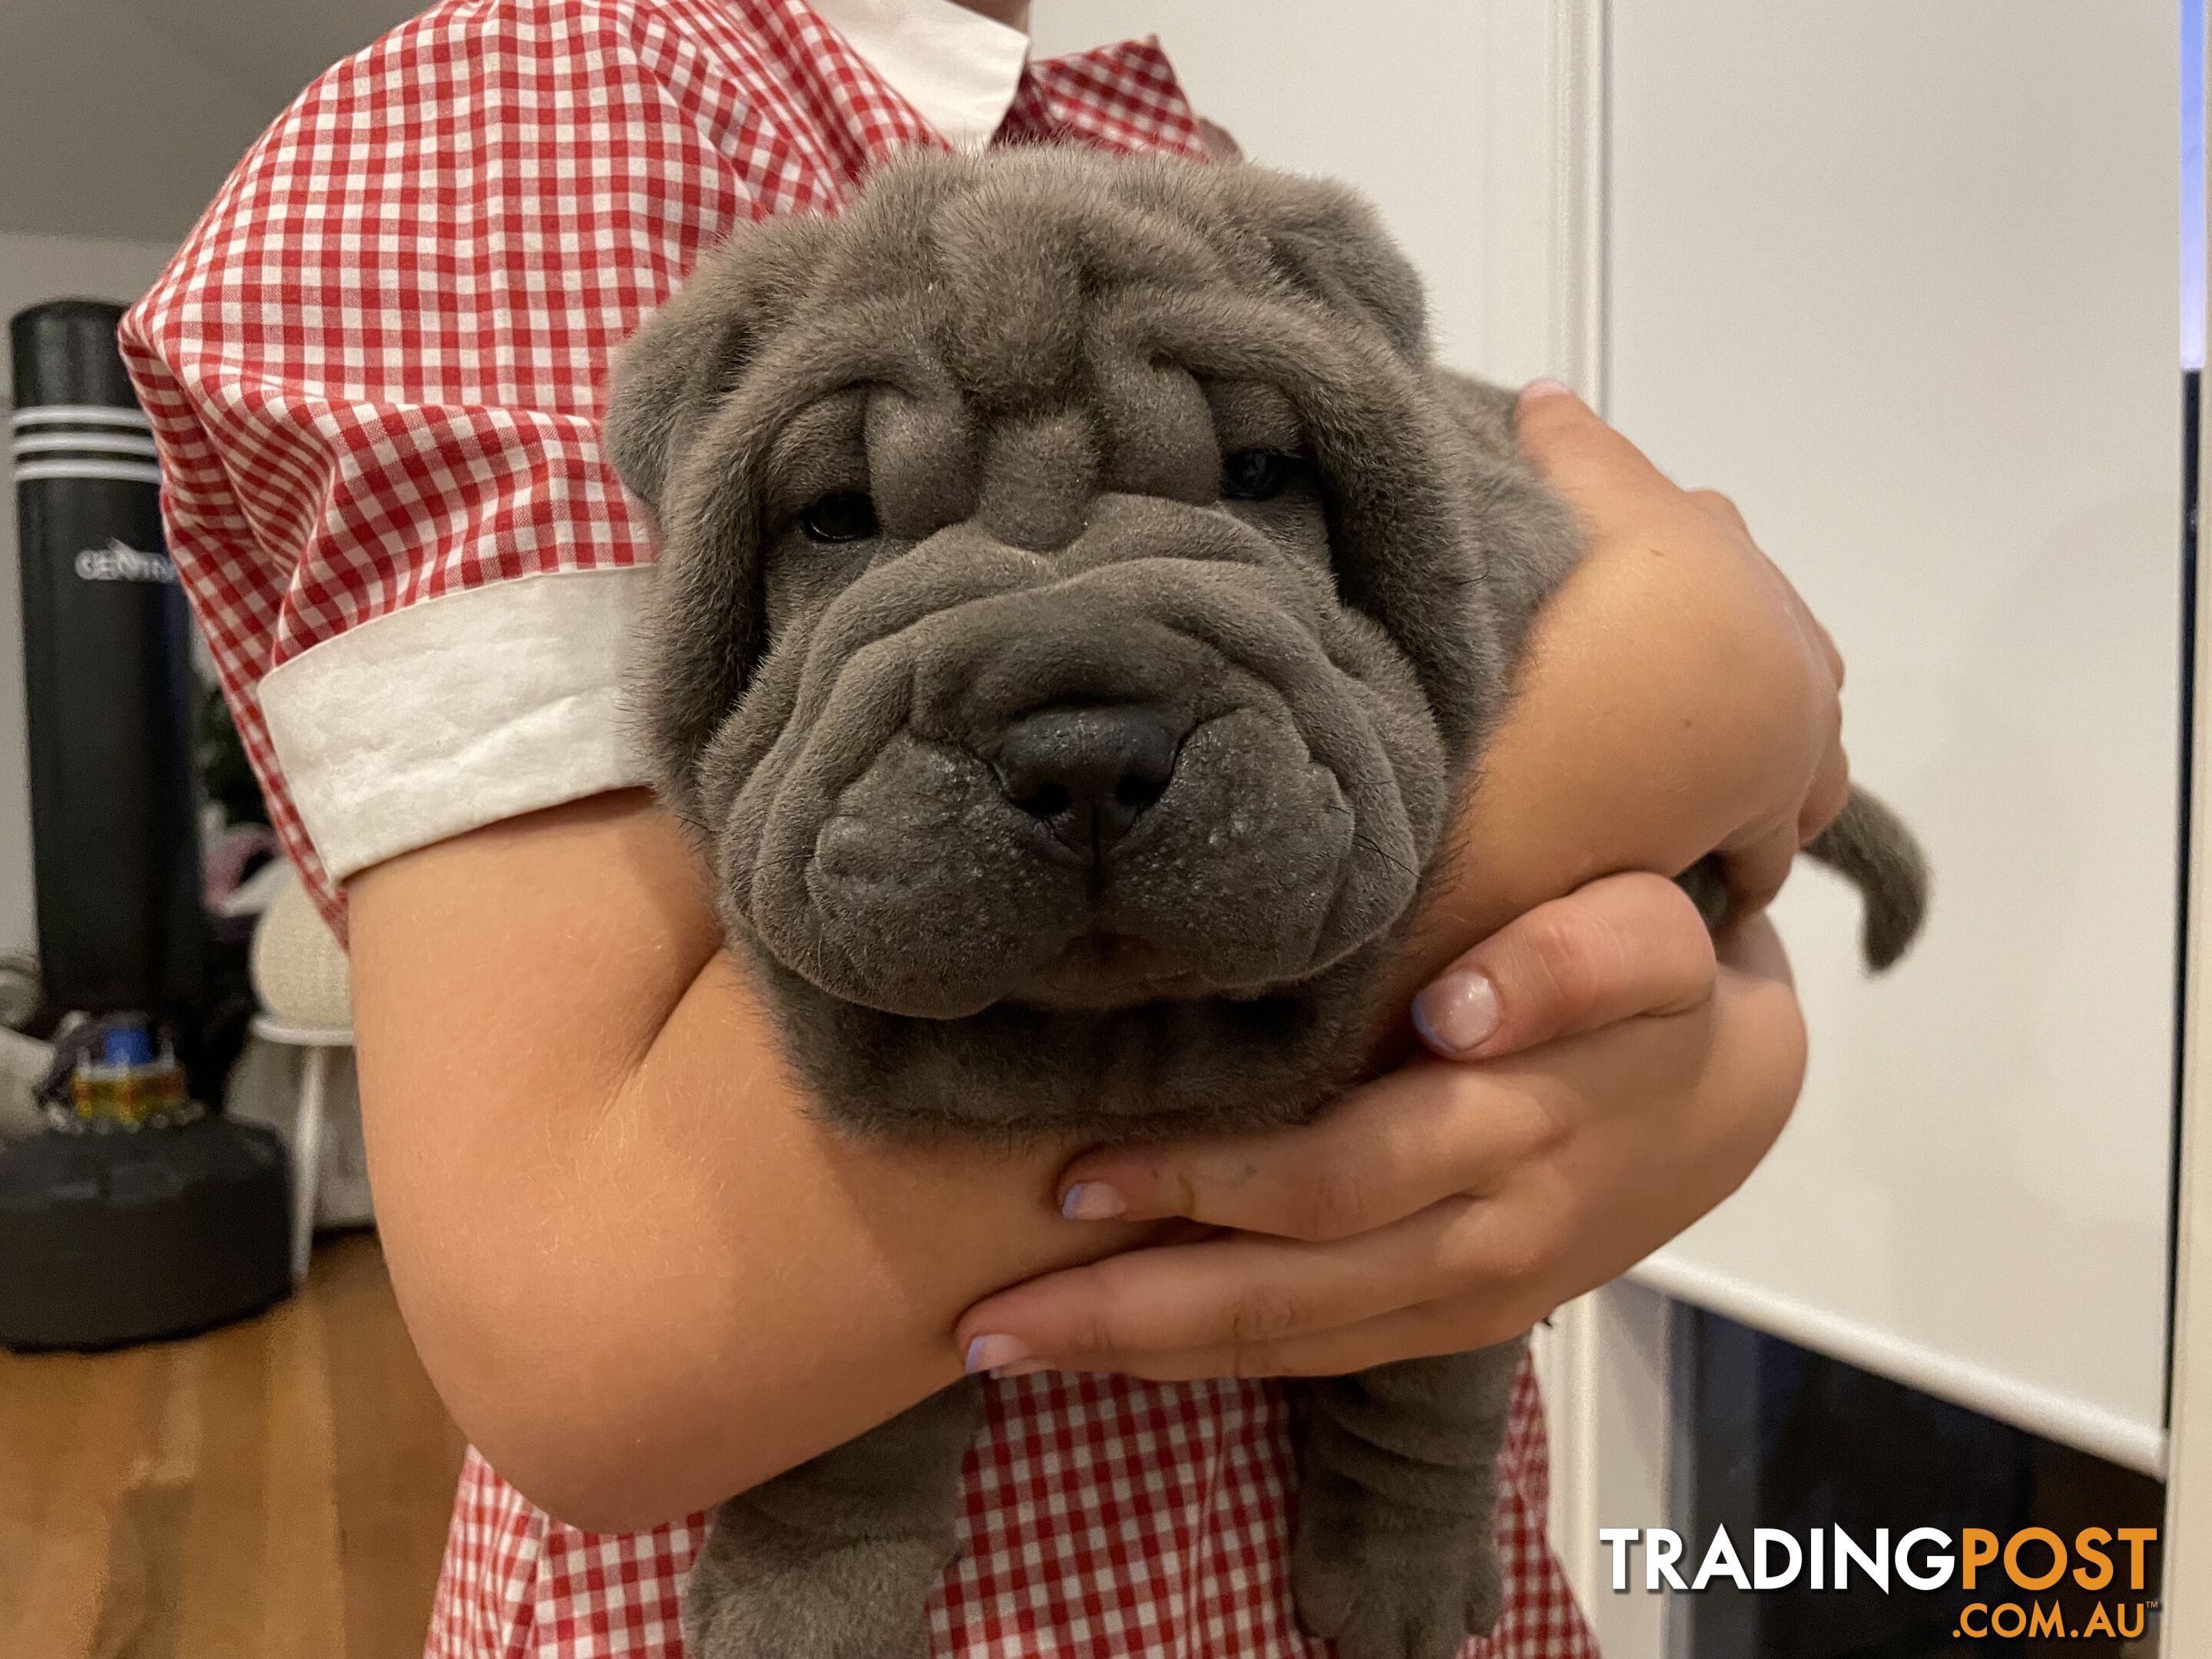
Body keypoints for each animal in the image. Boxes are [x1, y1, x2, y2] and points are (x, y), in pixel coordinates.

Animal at [601, 146, 1919, 1659]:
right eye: (835, 519)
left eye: (1259, 474)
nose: (1083, 743)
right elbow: (842, 1414)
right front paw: (800, 1594)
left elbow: (1435, 1366)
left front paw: (1403, 1578)